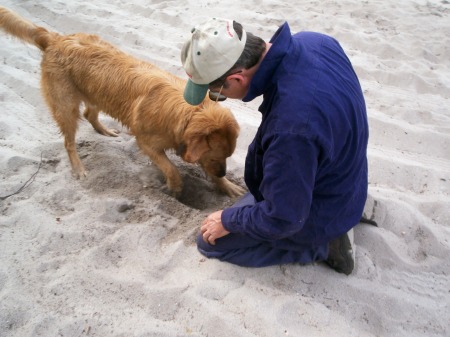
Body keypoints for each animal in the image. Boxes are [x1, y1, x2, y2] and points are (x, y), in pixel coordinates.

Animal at [0, 6, 246, 197]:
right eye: (216, 155)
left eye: (228, 156)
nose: (223, 173)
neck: (189, 113)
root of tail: (55, 38)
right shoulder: (147, 143)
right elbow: (171, 169)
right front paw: (175, 188)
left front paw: (227, 185)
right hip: (66, 106)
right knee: (69, 141)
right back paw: (78, 168)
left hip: (96, 92)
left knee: (90, 114)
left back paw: (105, 131)